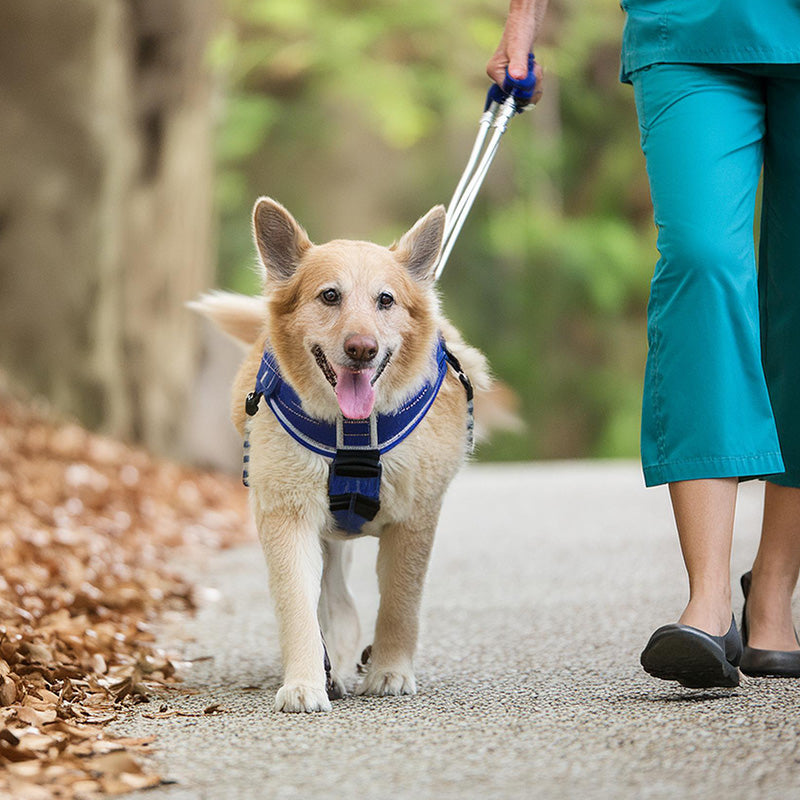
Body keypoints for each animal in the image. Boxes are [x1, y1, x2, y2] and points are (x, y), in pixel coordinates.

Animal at [191, 198, 500, 712]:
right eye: (330, 296)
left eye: (386, 300)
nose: (362, 349)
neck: (353, 432)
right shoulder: (288, 516)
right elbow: (298, 606)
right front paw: (305, 682)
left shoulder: (415, 520)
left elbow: (399, 603)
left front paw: (390, 671)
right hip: (326, 534)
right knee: (335, 604)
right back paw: (331, 665)